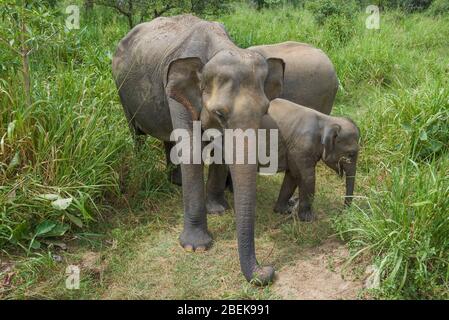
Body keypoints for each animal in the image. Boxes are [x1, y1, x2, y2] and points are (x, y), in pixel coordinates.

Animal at [114, 15, 286, 284]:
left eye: (265, 110)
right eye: (220, 114)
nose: (268, 270)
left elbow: (218, 148)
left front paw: (217, 209)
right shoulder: (176, 89)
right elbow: (191, 150)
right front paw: (195, 247)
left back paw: (176, 182)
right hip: (122, 92)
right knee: (136, 133)